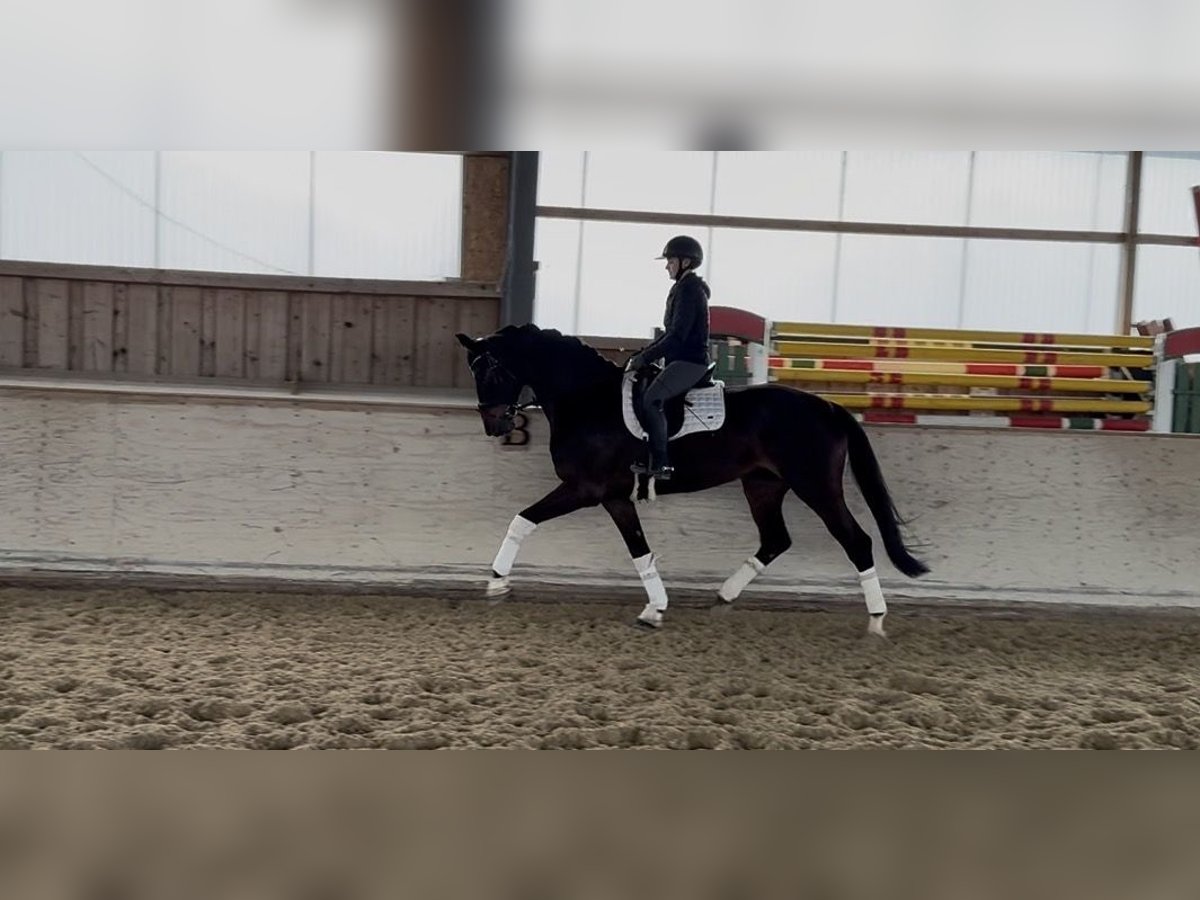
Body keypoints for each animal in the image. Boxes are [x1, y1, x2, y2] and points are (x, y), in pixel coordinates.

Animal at [455, 324, 928, 636]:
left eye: (489, 370)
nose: (494, 425)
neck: (586, 399)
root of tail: (827, 407)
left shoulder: (584, 490)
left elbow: (522, 520)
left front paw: (495, 581)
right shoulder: (614, 497)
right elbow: (640, 550)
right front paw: (655, 609)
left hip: (816, 486)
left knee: (856, 541)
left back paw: (877, 618)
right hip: (763, 485)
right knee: (775, 539)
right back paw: (723, 597)